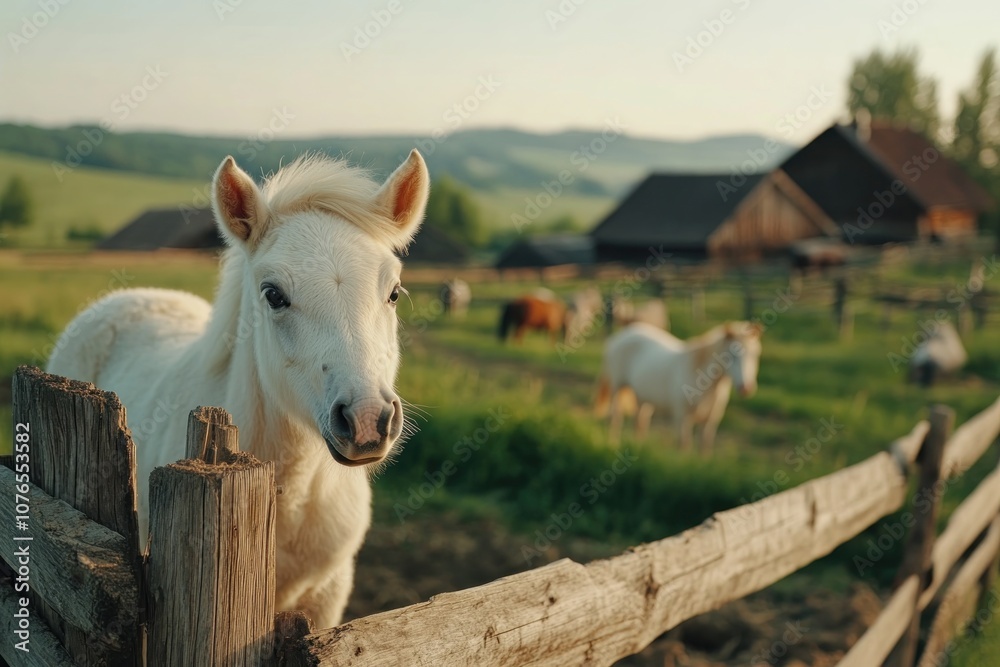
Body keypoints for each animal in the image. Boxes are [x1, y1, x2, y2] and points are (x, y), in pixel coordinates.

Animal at [596, 321, 762, 451]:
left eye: (755, 355)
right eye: (731, 356)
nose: (746, 388)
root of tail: (619, 337)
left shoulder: (711, 420)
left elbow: (705, 445)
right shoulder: (682, 417)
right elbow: (684, 444)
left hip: (643, 397)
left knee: (640, 422)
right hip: (618, 388)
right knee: (616, 419)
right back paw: (612, 444)